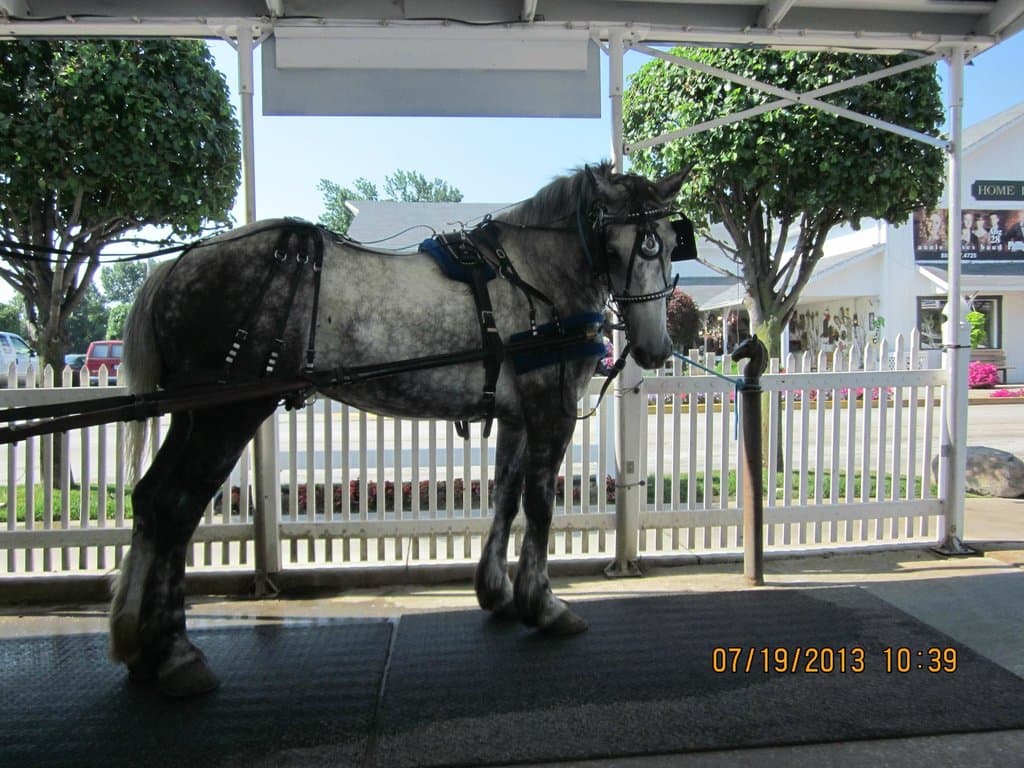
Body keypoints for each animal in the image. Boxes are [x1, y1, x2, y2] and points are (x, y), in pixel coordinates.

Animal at [109, 161, 692, 696]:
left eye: (666, 243)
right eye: (612, 248)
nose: (654, 348)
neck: (534, 277)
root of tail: (178, 266)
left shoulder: (515, 414)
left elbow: (505, 498)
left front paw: (496, 592)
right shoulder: (552, 405)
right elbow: (541, 506)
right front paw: (543, 605)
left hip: (192, 415)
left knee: (151, 500)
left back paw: (138, 642)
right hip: (226, 416)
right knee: (176, 507)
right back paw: (174, 651)